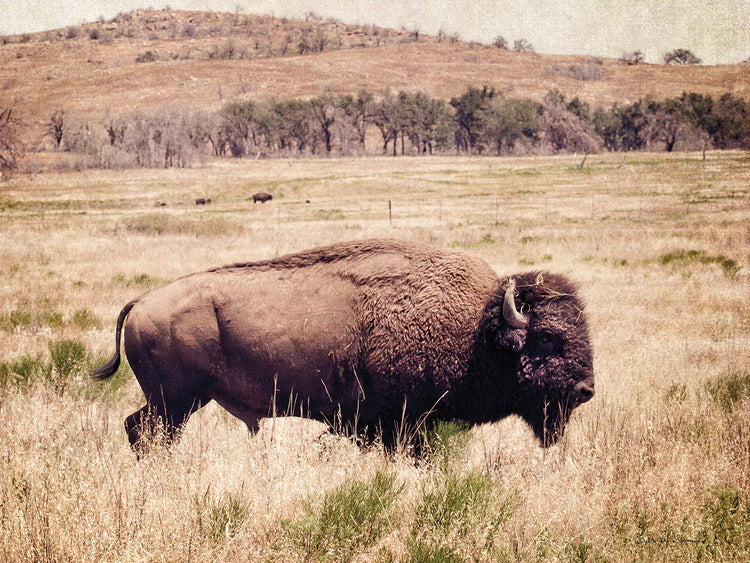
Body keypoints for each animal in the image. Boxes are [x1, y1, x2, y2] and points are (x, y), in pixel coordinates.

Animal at [91, 239, 594, 453]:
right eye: (547, 338)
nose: (586, 389)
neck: (475, 330)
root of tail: (143, 301)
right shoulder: (398, 425)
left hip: (176, 402)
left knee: (136, 428)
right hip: (175, 402)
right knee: (146, 432)